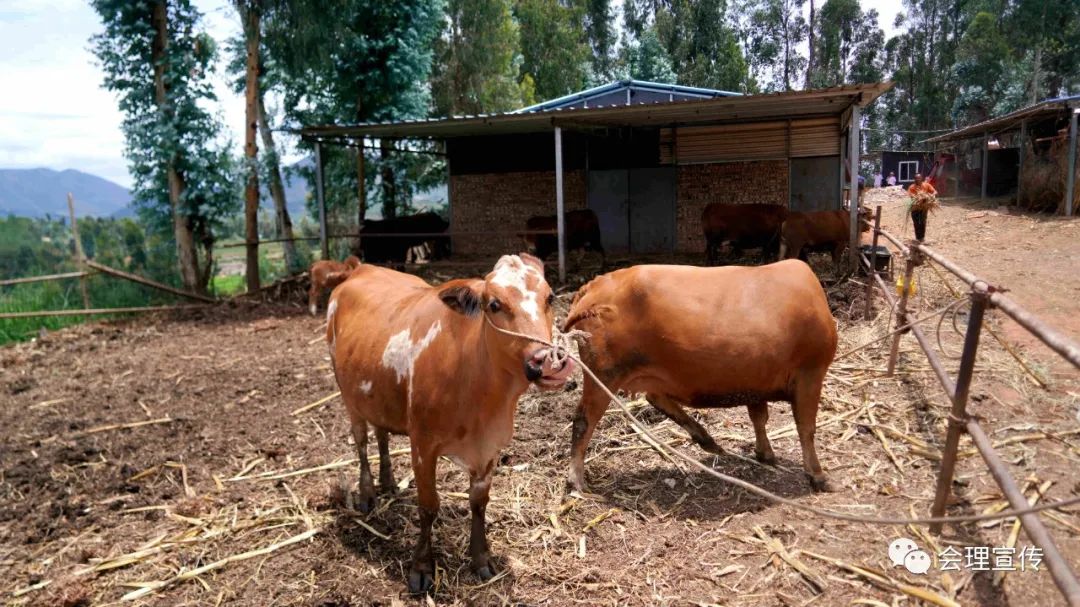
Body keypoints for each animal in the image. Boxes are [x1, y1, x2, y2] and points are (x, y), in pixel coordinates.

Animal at [326, 251, 574, 591]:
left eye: (549, 297)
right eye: (494, 304)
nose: (549, 361)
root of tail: (360, 269)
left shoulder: (490, 447)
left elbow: (479, 503)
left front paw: (481, 558)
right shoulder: (423, 445)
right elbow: (428, 506)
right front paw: (421, 567)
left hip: (378, 394)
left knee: (381, 434)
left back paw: (388, 481)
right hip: (349, 397)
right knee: (362, 443)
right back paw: (367, 494)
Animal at [561, 260, 838, 492]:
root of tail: (595, 285)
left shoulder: (755, 379)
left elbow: (760, 418)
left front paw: (765, 454)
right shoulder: (810, 374)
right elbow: (806, 427)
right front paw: (818, 475)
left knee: (654, 397)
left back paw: (705, 438)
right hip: (605, 375)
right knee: (584, 419)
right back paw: (576, 479)